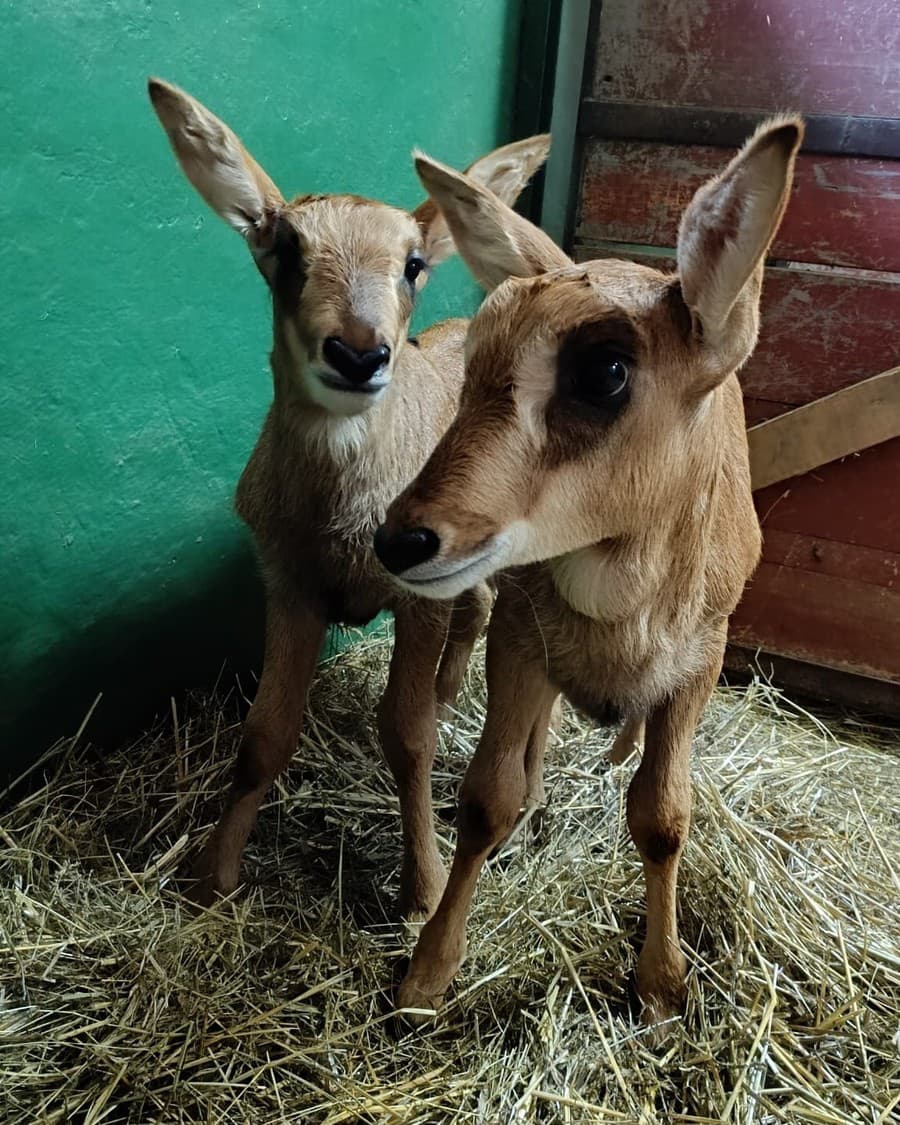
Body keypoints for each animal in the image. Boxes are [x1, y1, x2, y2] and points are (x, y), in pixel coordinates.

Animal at [147, 77, 549, 913]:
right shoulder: (290, 582)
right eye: (286, 250)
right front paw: (211, 875)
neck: (342, 515)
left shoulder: (415, 599)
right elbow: (265, 731)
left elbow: (407, 733)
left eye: (414, 263)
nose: (359, 354)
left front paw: (423, 885)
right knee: (481, 605)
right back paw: (457, 691)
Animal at [375, 114, 805, 1030]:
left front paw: (663, 984)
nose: (403, 540)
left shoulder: (699, 664)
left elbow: (663, 813)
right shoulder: (520, 640)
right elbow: (487, 798)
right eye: (476, 361)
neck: (622, 602)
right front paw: (427, 975)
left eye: (606, 369)